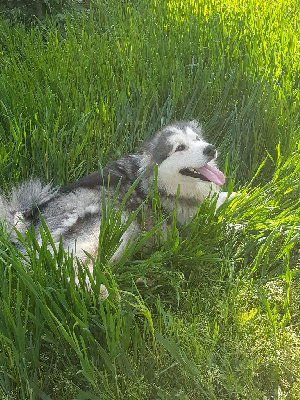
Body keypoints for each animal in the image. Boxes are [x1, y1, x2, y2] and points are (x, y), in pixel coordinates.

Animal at [0, 120, 234, 296]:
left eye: (197, 139)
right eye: (180, 148)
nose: (210, 149)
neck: (158, 183)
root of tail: (29, 220)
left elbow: (225, 198)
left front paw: (238, 196)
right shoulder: (191, 228)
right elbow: (224, 226)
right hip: (105, 220)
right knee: (65, 265)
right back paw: (104, 293)